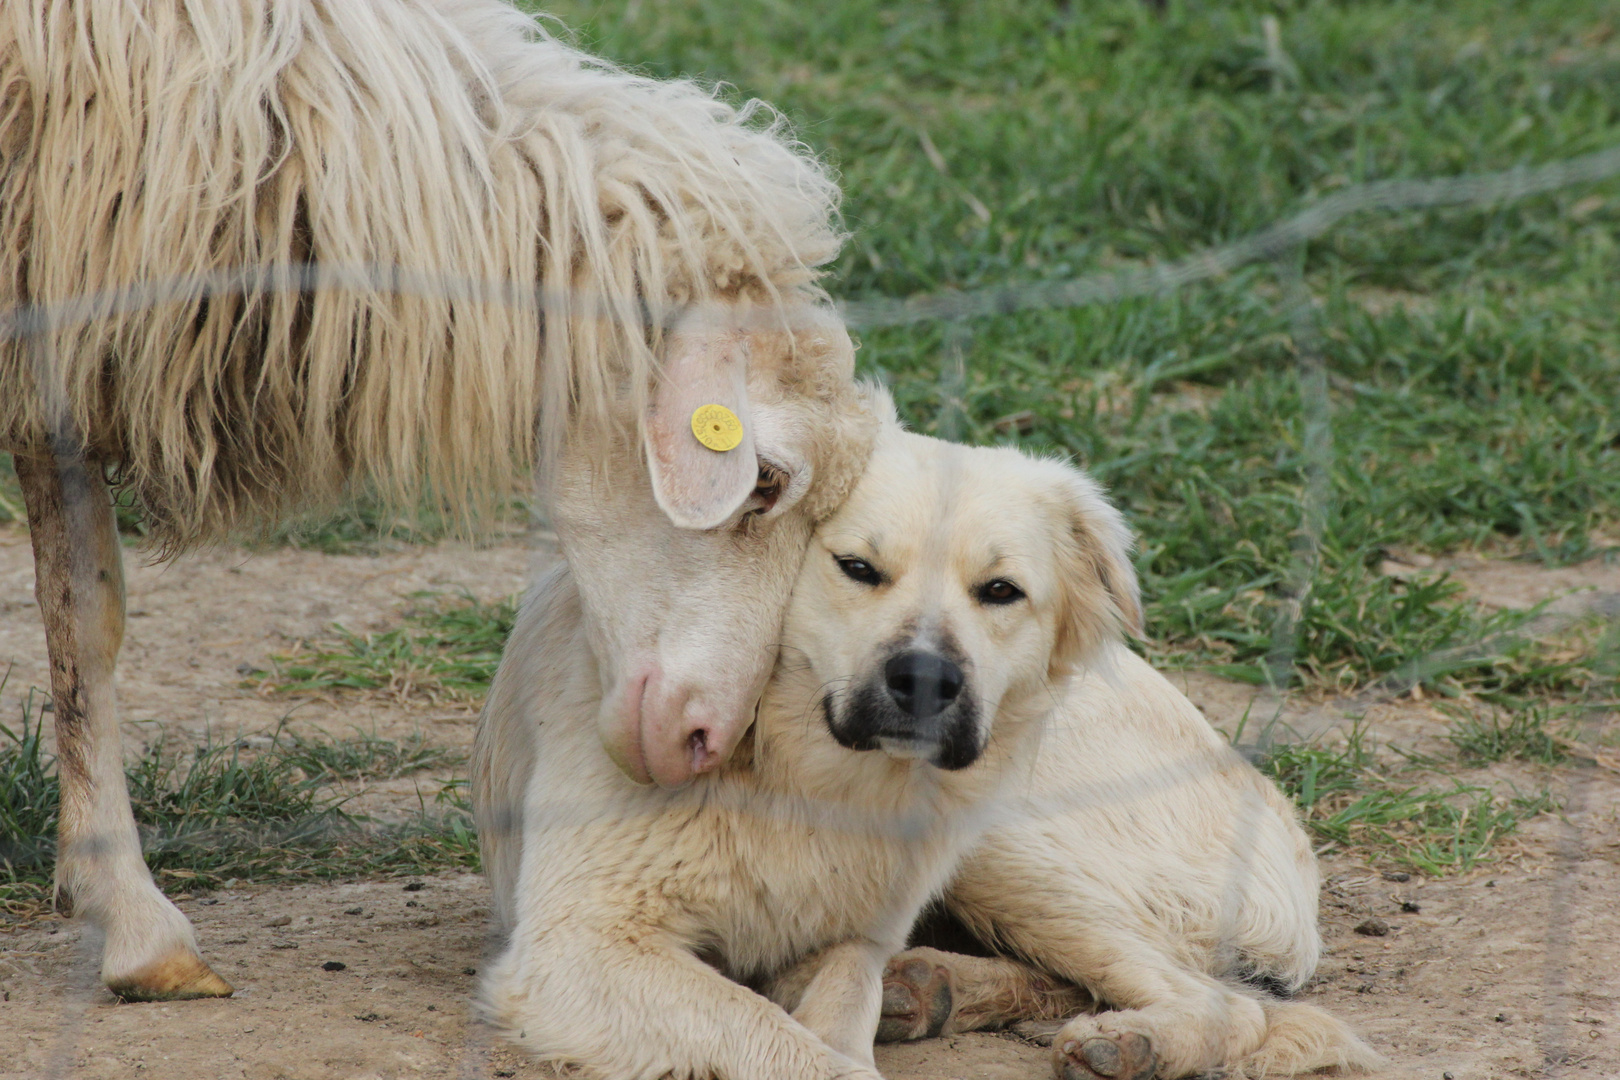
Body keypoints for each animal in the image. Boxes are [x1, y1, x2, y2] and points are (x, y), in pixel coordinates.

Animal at [473, 399, 1380, 1080]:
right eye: (857, 568)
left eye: (1001, 591)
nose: (925, 680)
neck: (801, 775)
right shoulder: (580, 943)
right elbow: (788, 1042)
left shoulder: (850, 931)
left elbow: (836, 1006)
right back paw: (936, 987)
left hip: (1008, 844)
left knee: (1238, 1010)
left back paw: (1125, 1041)